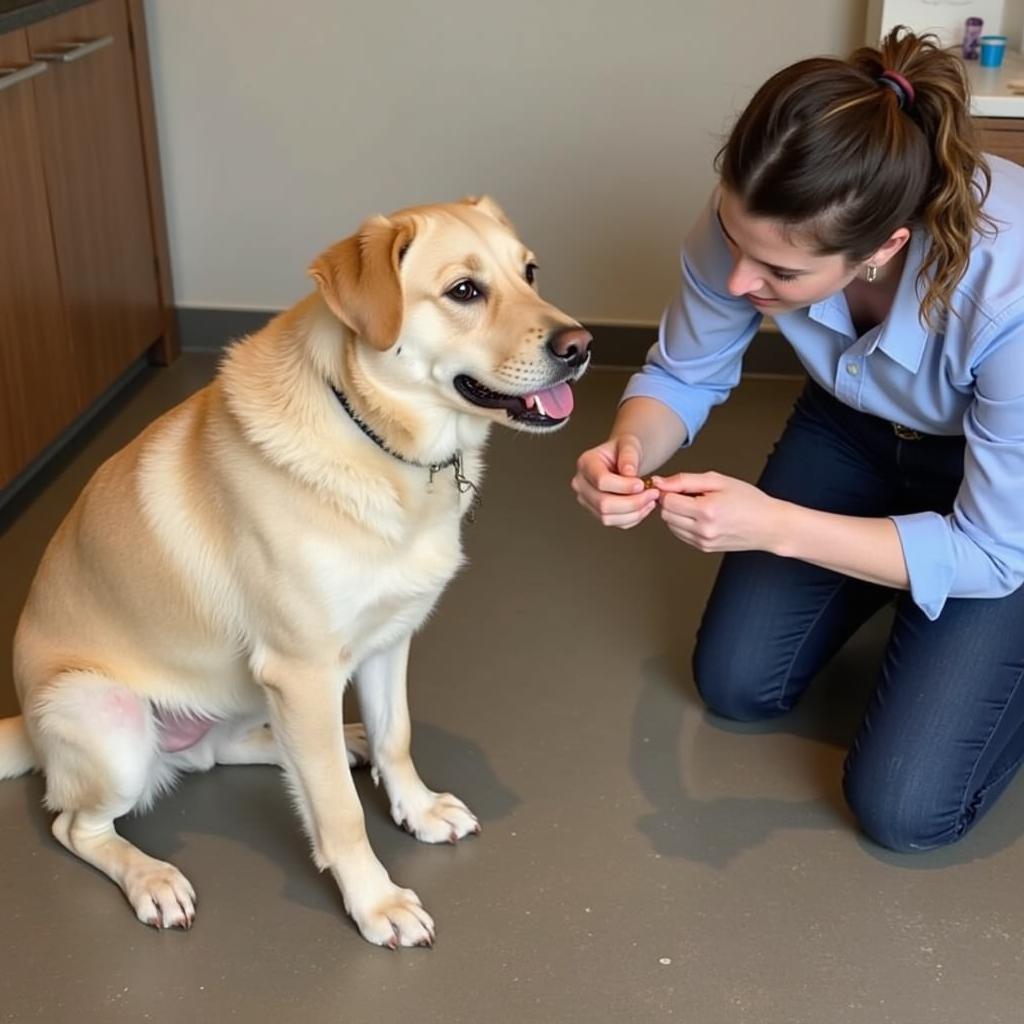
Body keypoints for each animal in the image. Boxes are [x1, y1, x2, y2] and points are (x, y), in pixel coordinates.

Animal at [0, 195, 589, 946]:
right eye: (464, 290)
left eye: (530, 273)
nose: (581, 347)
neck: (379, 442)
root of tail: (26, 722)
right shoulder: (302, 671)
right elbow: (338, 812)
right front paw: (376, 902)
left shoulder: (388, 639)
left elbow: (397, 736)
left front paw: (417, 807)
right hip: (111, 719)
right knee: (75, 826)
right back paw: (151, 878)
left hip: (244, 695)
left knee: (229, 754)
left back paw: (340, 741)